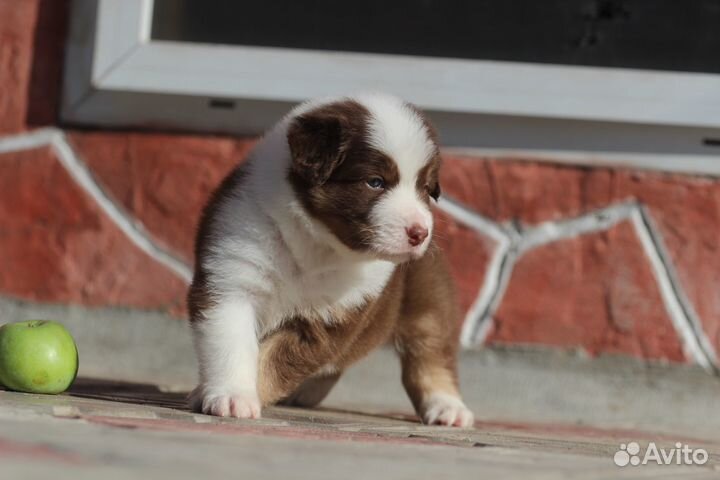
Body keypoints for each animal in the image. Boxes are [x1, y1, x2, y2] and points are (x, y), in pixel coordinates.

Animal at [188, 94, 476, 428]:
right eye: (375, 182)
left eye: (425, 188)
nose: (420, 232)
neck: (315, 244)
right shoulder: (231, 280)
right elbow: (232, 345)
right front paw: (231, 396)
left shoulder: (331, 318)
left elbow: (273, 362)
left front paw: (234, 395)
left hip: (428, 303)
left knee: (430, 355)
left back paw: (448, 408)